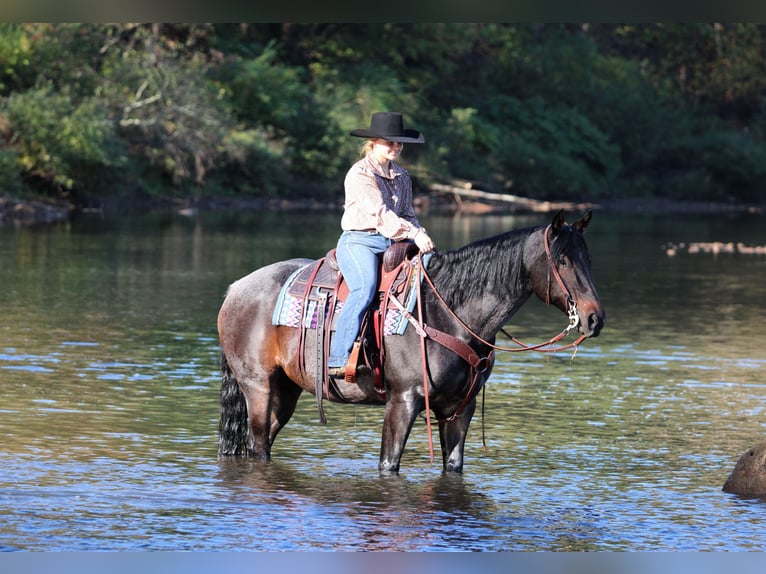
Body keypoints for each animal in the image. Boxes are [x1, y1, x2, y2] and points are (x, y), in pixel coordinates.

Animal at [217, 210, 605, 473]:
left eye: (588, 257)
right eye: (563, 260)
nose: (595, 319)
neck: (448, 310)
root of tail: (235, 288)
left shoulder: (459, 408)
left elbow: (453, 466)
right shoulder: (402, 401)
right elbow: (389, 465)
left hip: (286, 391)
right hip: (258, 387)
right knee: (258, 445)